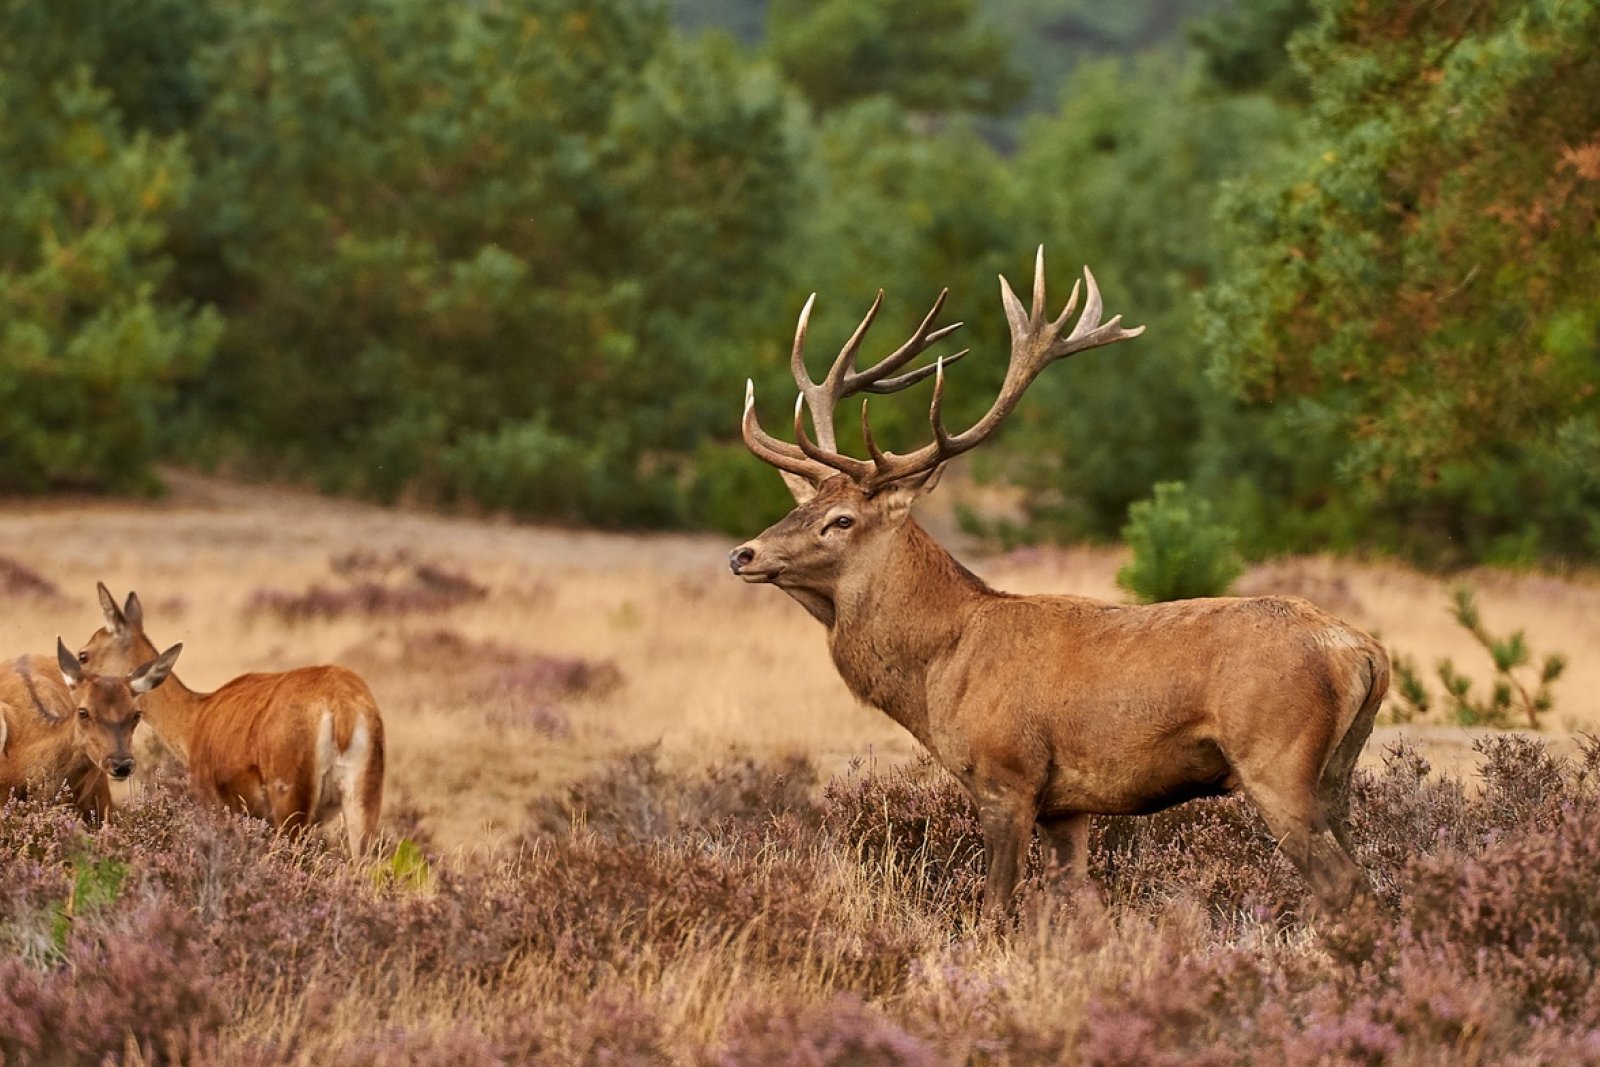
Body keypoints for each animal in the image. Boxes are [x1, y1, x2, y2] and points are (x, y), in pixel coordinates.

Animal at [732, 251, 1382, 921]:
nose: (743, 553)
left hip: (1275, 759)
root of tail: (1364, 653)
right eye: (799, 507)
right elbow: (1072, 903)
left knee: (1345, 884)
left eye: (842, 520)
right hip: (1338, 776)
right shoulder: (1066, 806)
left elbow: (997, 906)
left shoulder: (1007, 776)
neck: (939, 668)